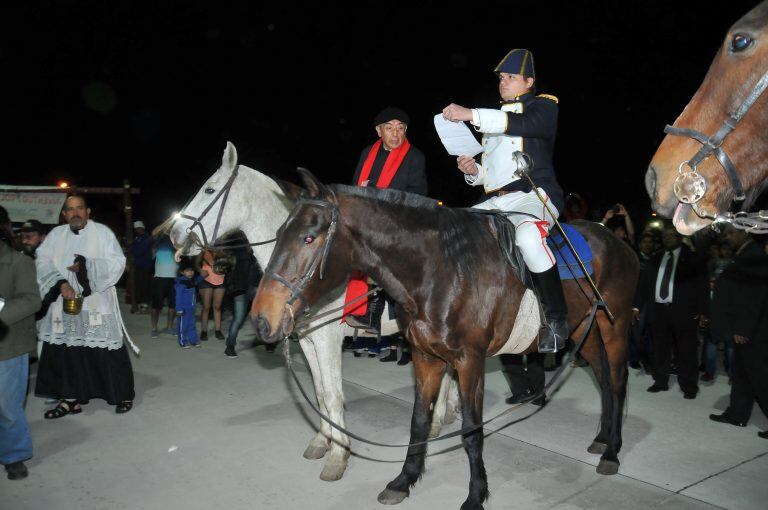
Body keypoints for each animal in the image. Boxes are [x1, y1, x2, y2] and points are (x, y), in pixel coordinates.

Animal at [168, 141, 456, 480]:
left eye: (210, 189)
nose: (174, 233)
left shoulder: (327, 339)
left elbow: (332, 395)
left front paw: (338, 456)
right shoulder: (307, 339)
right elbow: (319, 392)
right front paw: (322, 441)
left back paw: (438, 420)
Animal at [250, 169, 636, 508]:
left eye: (309, 237)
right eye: (280, 232)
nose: (261, 319)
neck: (442, 271)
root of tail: (615, 239)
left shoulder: (469, 361)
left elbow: (471, 430)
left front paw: (476, 495)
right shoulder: (425, 356)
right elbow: (418, 421)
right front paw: (403, 481)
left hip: (614, 327)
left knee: (617, 382)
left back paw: (612, 451)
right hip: (584, 328)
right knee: (603, 377)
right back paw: (601, 439)